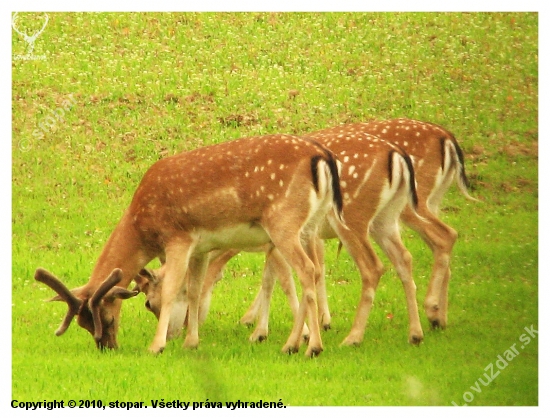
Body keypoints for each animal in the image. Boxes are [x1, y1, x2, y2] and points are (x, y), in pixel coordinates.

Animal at [34, 134, 348, 356]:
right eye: (83, 324)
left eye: (106, 319)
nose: (107, 346)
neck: (142, 227)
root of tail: (322, 156)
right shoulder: (201, 247)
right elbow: (195, 290)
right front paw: (191, 342)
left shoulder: (178, 238)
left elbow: (173, 288)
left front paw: (156, 346)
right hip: (310, 226)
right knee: (314, 270)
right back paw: (297, 343)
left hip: (283, 224)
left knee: (307, 271)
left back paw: (308, 346)